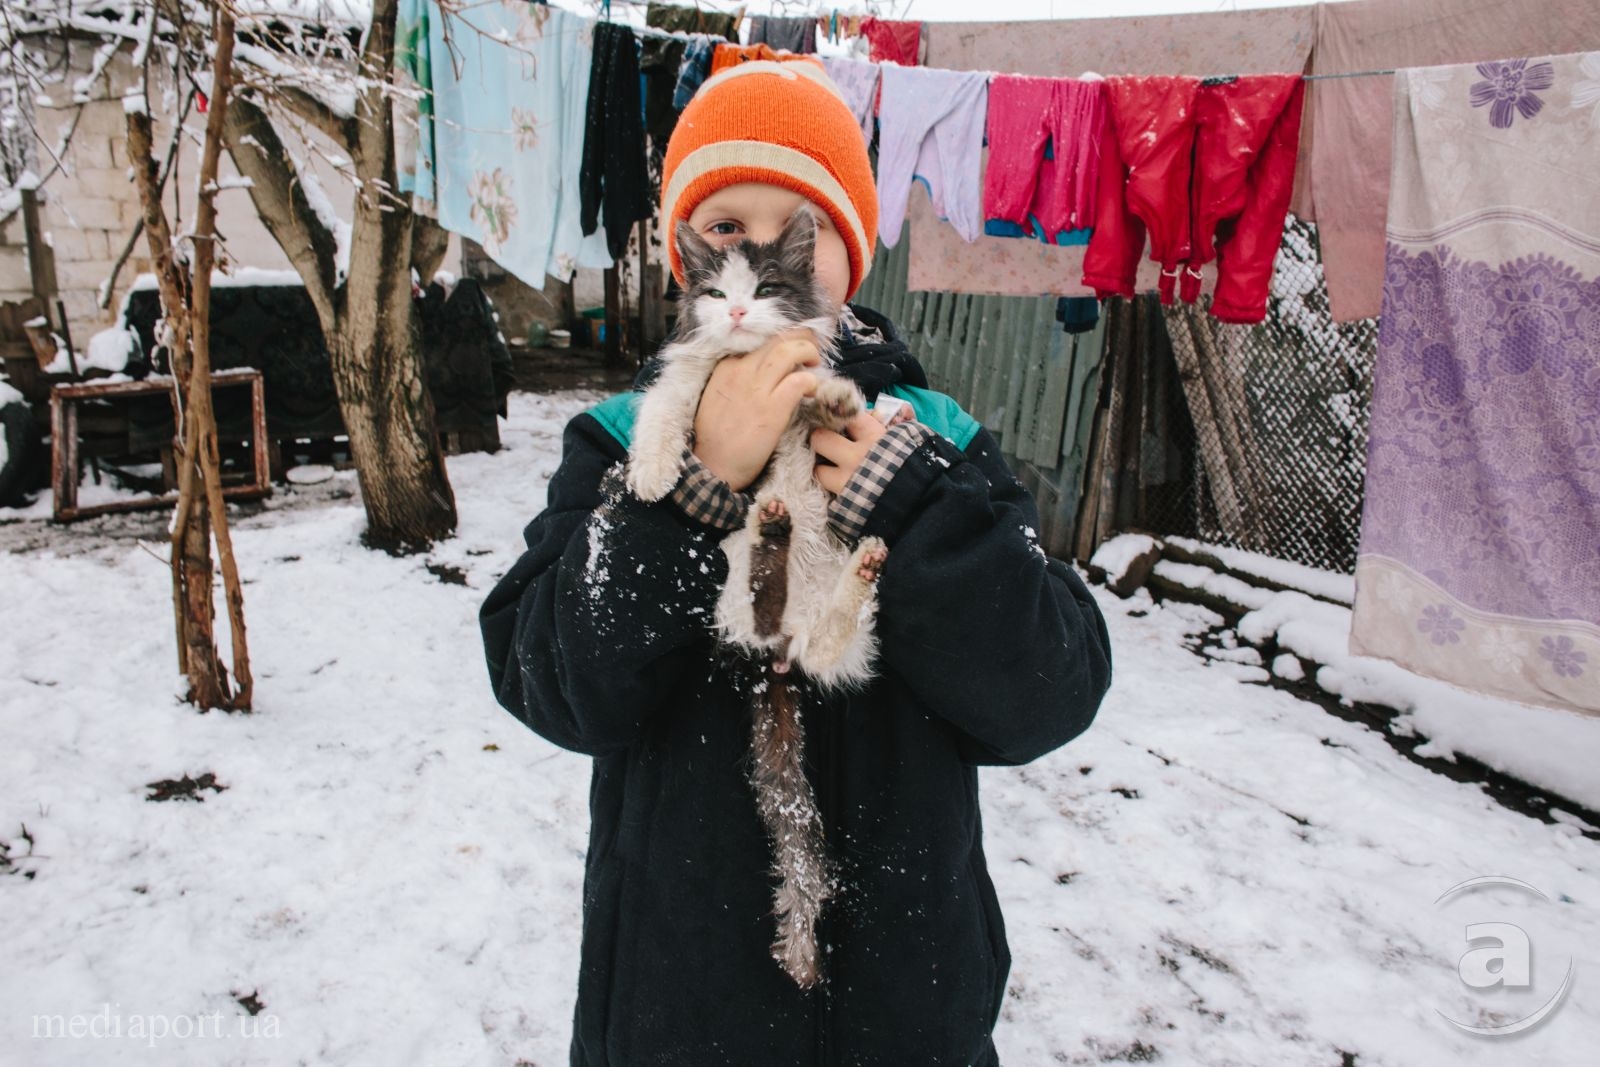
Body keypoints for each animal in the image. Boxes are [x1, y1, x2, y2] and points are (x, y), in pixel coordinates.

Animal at [624, 207, 889, 991]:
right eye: (715, 293)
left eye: (767, 287)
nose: (739, 311)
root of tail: (776, 653)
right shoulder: (690, 370)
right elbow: (667, 400)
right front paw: (651, 469)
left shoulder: (799, 373)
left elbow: (815, 398)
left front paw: (835, 400)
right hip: (729, 578)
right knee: (763, 595)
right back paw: (774, 535)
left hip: (825, 618)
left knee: (833, 640)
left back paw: (852, 564)